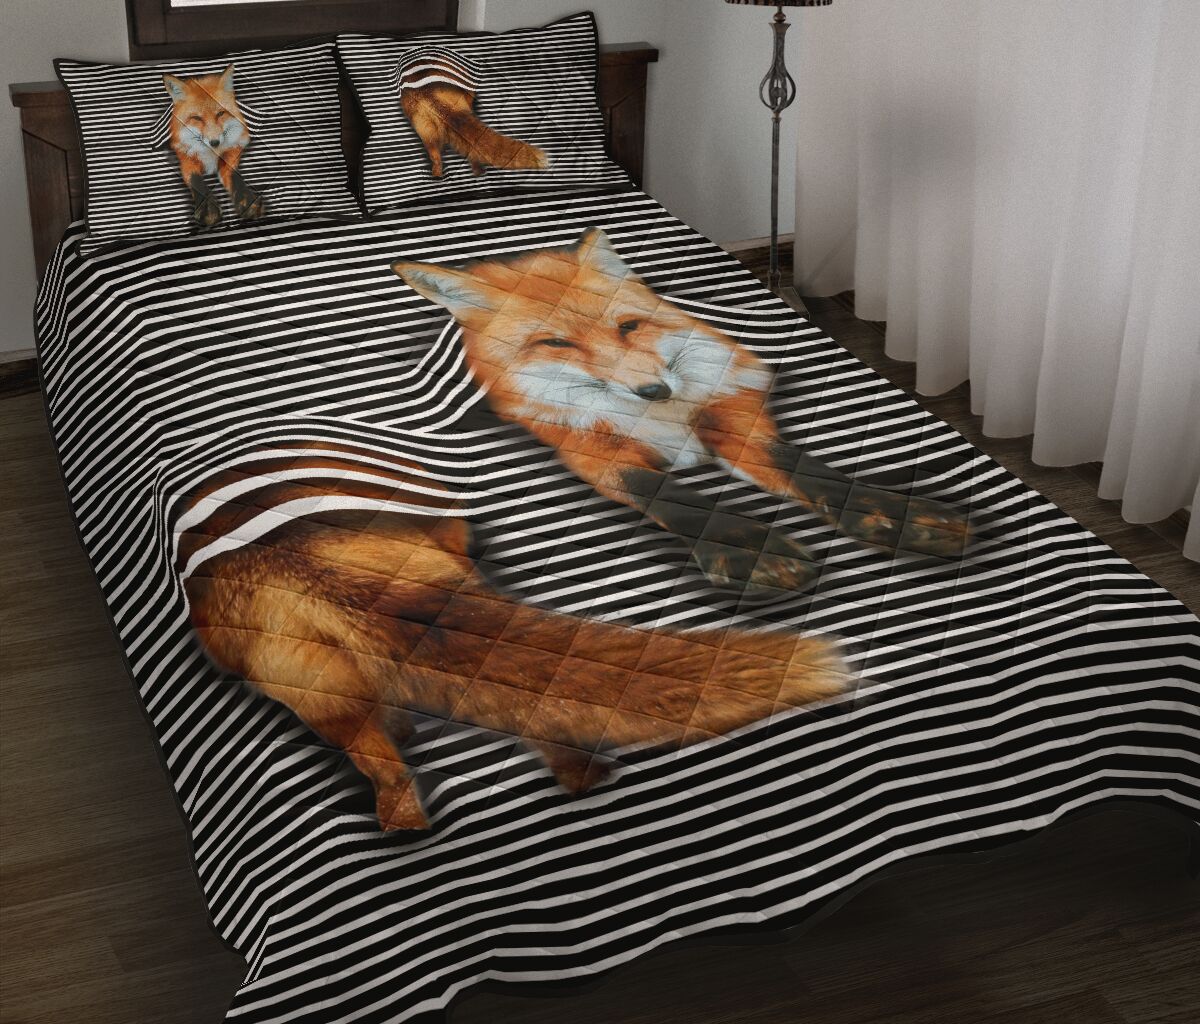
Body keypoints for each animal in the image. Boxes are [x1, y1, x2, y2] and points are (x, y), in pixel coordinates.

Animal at [163, 65, 263, 228]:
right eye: (197, 118)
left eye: (220, 114)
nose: (215, 142)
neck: (211, 154)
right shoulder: (185, 157)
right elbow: (196, 181)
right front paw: (208, 210)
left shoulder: (234, 149)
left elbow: (233, 175)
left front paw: (246, 201)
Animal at [393, 229, 972, 594]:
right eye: (556, 343)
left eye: (628, 327)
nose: (655, 390)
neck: (662, 423)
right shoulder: (587, 450)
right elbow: (672, 496)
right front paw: (748, 554)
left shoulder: (732, 417)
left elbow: (801, 467)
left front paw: (891, 513)